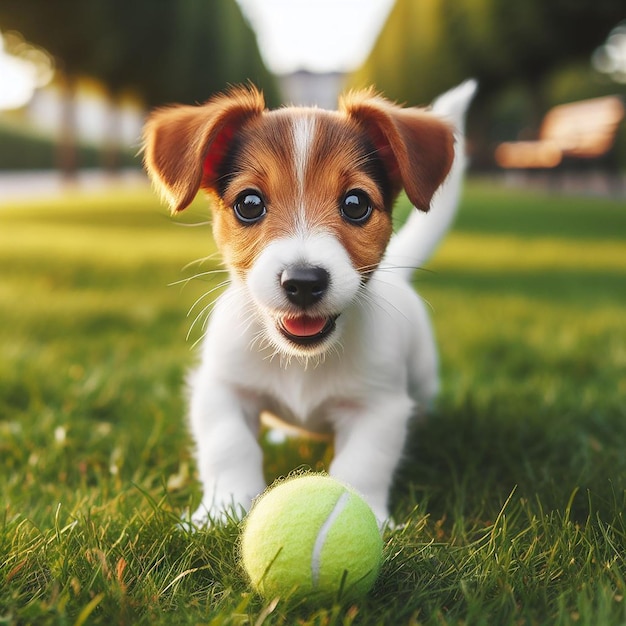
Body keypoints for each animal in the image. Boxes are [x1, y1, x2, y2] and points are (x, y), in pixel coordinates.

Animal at [141, 80, 472, 524]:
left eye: (355, 204)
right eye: (249, 203)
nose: (302, 282)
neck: (302, 362)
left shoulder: (379, 407)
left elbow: (362, 463)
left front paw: (365, 514)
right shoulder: (221, 388)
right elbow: (229, 445)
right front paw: (222, 509)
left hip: (422, 376)